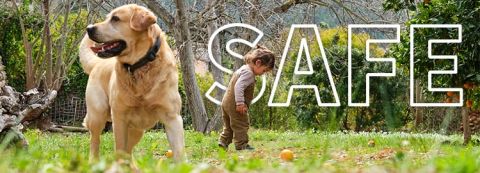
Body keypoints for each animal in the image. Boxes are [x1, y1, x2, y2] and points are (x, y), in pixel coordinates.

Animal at [79, 3, 184, 161]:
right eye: (108, 17)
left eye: (115, 18)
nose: (89, 28)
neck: (140, 65)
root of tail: (97, 63)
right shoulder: (119, 118)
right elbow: (119, 149)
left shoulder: (173, 118)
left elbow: (179, 153)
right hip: (97, 114)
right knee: (95, 141)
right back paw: (93, 161)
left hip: (137, 130)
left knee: (128, 152)